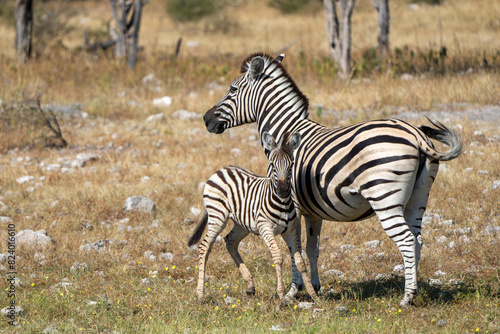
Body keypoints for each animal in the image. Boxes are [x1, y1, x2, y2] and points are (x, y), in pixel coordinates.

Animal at [188, 132, 316, 304]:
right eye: (272, 165)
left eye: (291, 165)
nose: (283, 190)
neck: (282, 202)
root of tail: (222, 169)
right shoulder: (265, 227)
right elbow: (278, 257)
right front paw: (281, 296)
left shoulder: (289, 230)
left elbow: (300, 261)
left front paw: (314, 295)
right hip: (218, 216)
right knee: (204, 247)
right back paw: (200, 294)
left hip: (242, 224)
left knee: (229, 241)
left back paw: (250, 286)